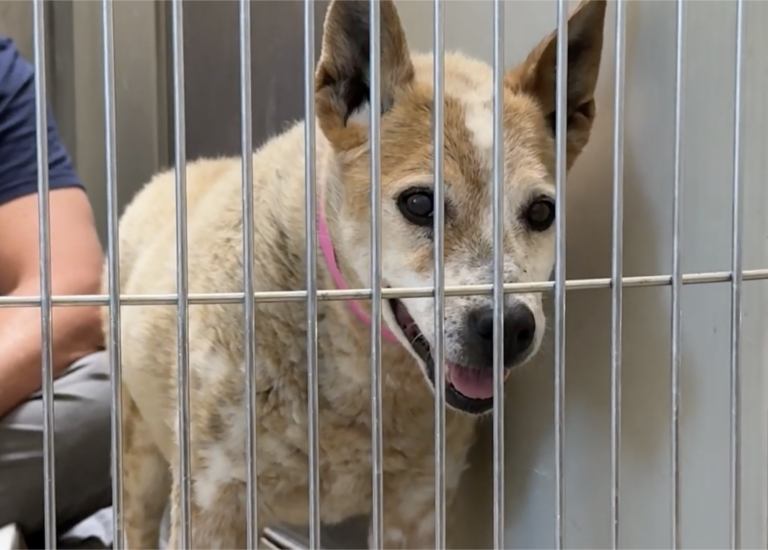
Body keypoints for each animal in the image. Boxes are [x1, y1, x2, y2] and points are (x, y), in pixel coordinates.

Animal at [103, 0, 608, 548]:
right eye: (419, 204)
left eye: (541, 212)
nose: (509, 327)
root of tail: (167, 177)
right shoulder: (212, 504)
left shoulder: (416, 510)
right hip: (139, 463)